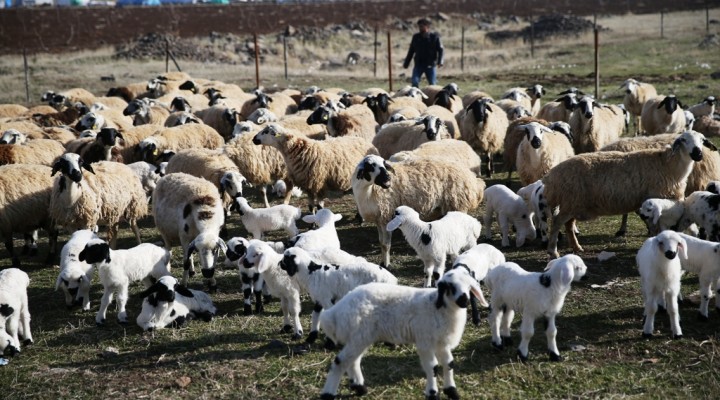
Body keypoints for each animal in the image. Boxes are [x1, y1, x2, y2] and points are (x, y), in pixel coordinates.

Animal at [320, 268, 484, 400]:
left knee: (353, 361)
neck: (439, 308)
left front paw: (452, 391)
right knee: (340, 362)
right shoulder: (425, 342)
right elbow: (432, 367)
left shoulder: (441, 342)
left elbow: (449, 363)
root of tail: (337, 310)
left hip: (361, 337)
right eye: (450, 286)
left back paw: (360, 388)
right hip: (359, 336)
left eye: (469, 286)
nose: (464, 300)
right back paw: (328, 394)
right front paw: (432, 393)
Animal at [352, 155, 486, 268]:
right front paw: (383, 262)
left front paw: (386, 264)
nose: (388, 178)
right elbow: (381, 242)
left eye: (385, 164)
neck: (368, 191)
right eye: (370, 166)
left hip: (457, 204)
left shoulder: (386, 217)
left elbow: (386, 245)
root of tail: (472, 179)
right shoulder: (379, 220)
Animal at [540, 130, 716, 258]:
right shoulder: (656, 200)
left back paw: (577, 247)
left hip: (574, 203)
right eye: (684, 140)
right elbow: (657, 227)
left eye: (702, 140)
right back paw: (553, 251)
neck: (668, 164)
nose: (698, 154)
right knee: (556, 222)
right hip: (570, 201)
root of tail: (552, 175)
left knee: (568, 225)